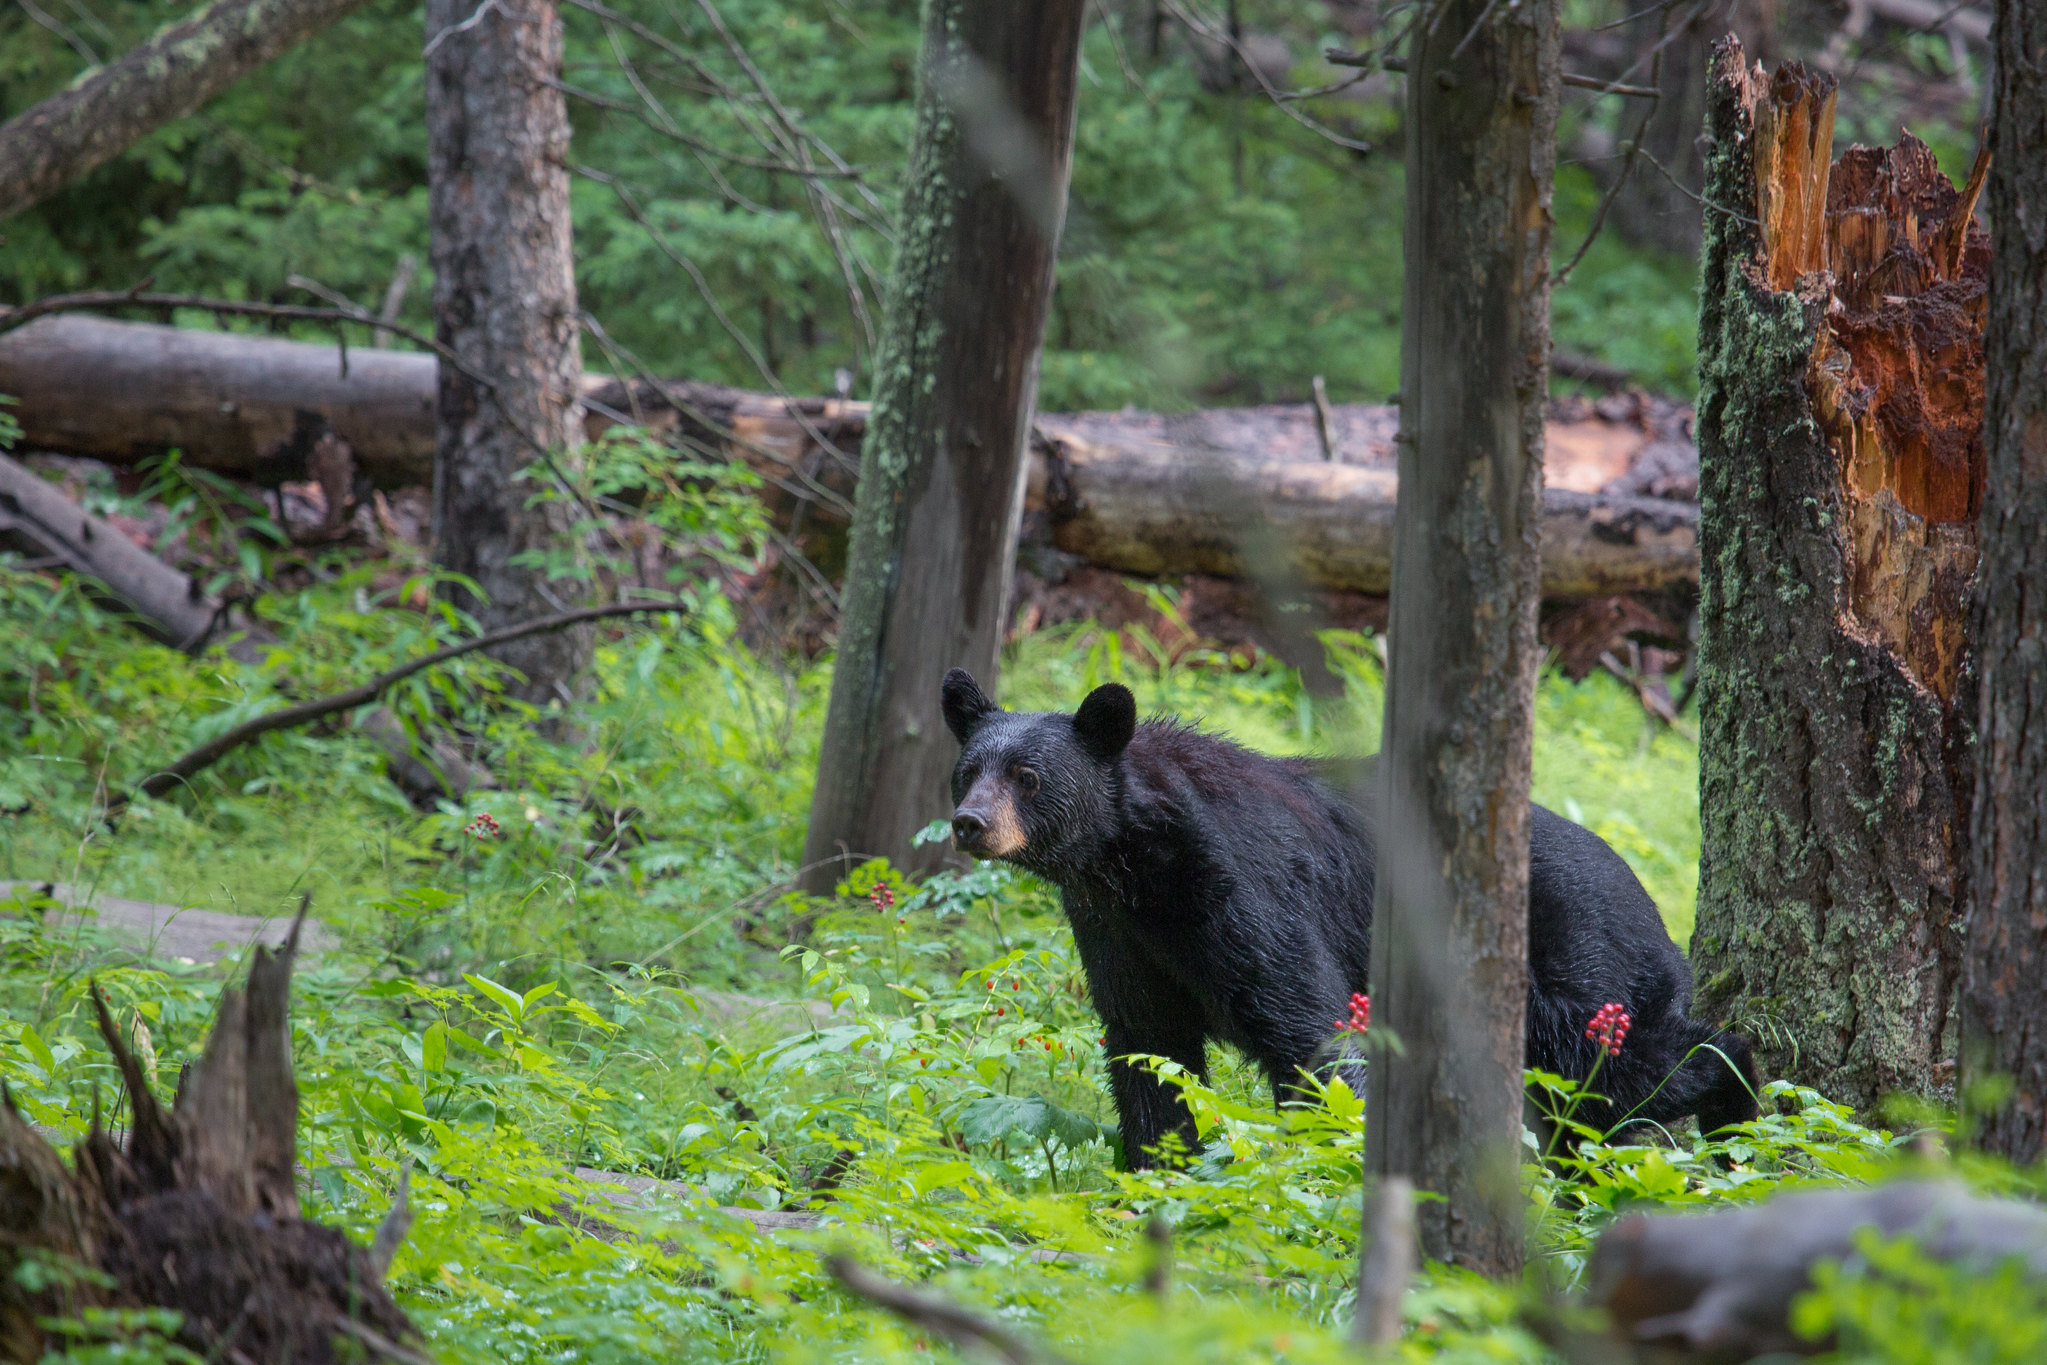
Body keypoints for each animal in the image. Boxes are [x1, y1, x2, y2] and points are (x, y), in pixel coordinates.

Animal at [941, 667, 1760, 1170]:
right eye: (967, 770)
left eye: (1028, 775)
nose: (969, 823)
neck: (1137, 858)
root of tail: (1650, 906)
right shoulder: (1117, 931)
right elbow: (1149, 1052)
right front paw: (1157, 1175)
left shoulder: (1248, 893)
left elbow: (1312, 1031)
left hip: (1577, 971)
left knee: (1625, 1073)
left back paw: (1740, 1115)